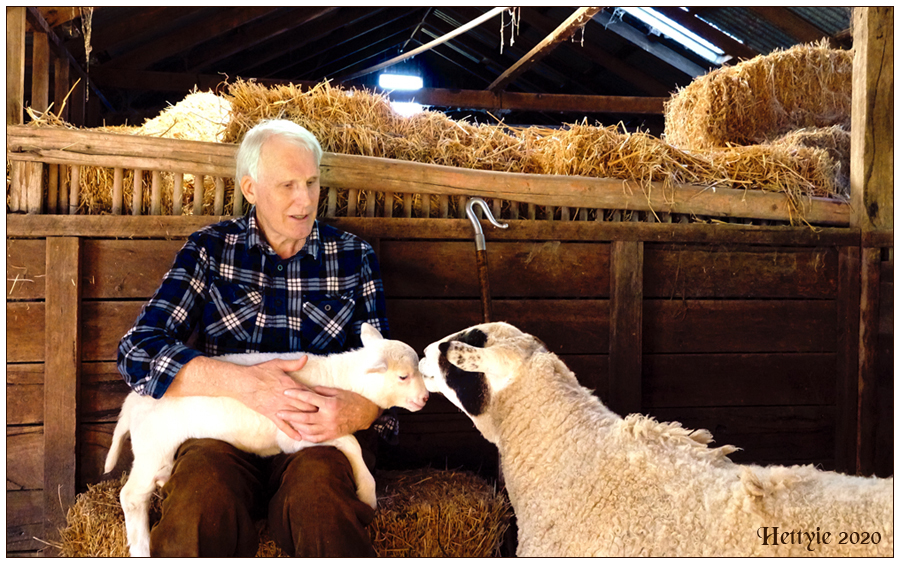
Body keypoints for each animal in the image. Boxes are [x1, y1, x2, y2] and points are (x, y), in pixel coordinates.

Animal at [105, 324, 428, 556]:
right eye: (402, 377)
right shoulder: (296, 432)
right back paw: (141, 547)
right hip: (154, 446)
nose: (425, 398)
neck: (339, 378)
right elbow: (351, 443)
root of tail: (133, 401)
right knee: (131, 495)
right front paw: (367, 492)